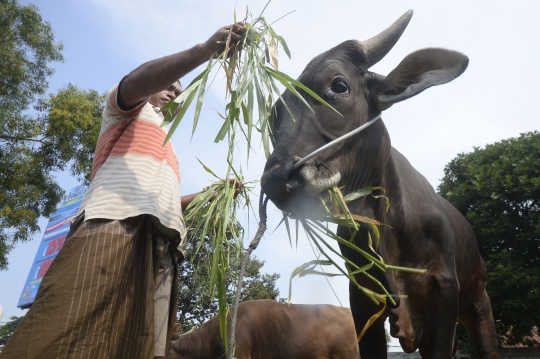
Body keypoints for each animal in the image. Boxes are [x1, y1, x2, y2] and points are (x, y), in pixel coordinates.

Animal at [260, 9, 498, 359]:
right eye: (275, 113)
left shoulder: (445, 290)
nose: (277, 180)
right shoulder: (363, 300)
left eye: (339, 85)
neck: (390, 224)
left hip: (479, 301)